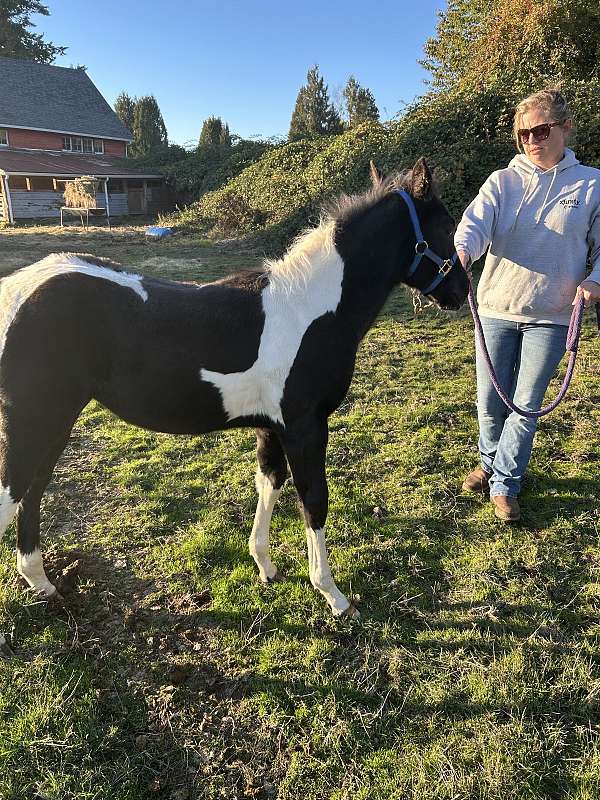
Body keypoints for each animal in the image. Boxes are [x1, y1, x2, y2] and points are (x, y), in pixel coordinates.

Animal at [0, 158, 468, 656]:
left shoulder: (271, 428)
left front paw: (265, 567)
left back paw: (44, 585)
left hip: (55, 425)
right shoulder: (305, 428)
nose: (461, 290)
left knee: (32, 495)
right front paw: (335, 597)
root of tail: (16, 289)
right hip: (33, 422)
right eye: (445, 225)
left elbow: (270, 484)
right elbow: (314, 502)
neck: (312, 310)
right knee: (14, 495)